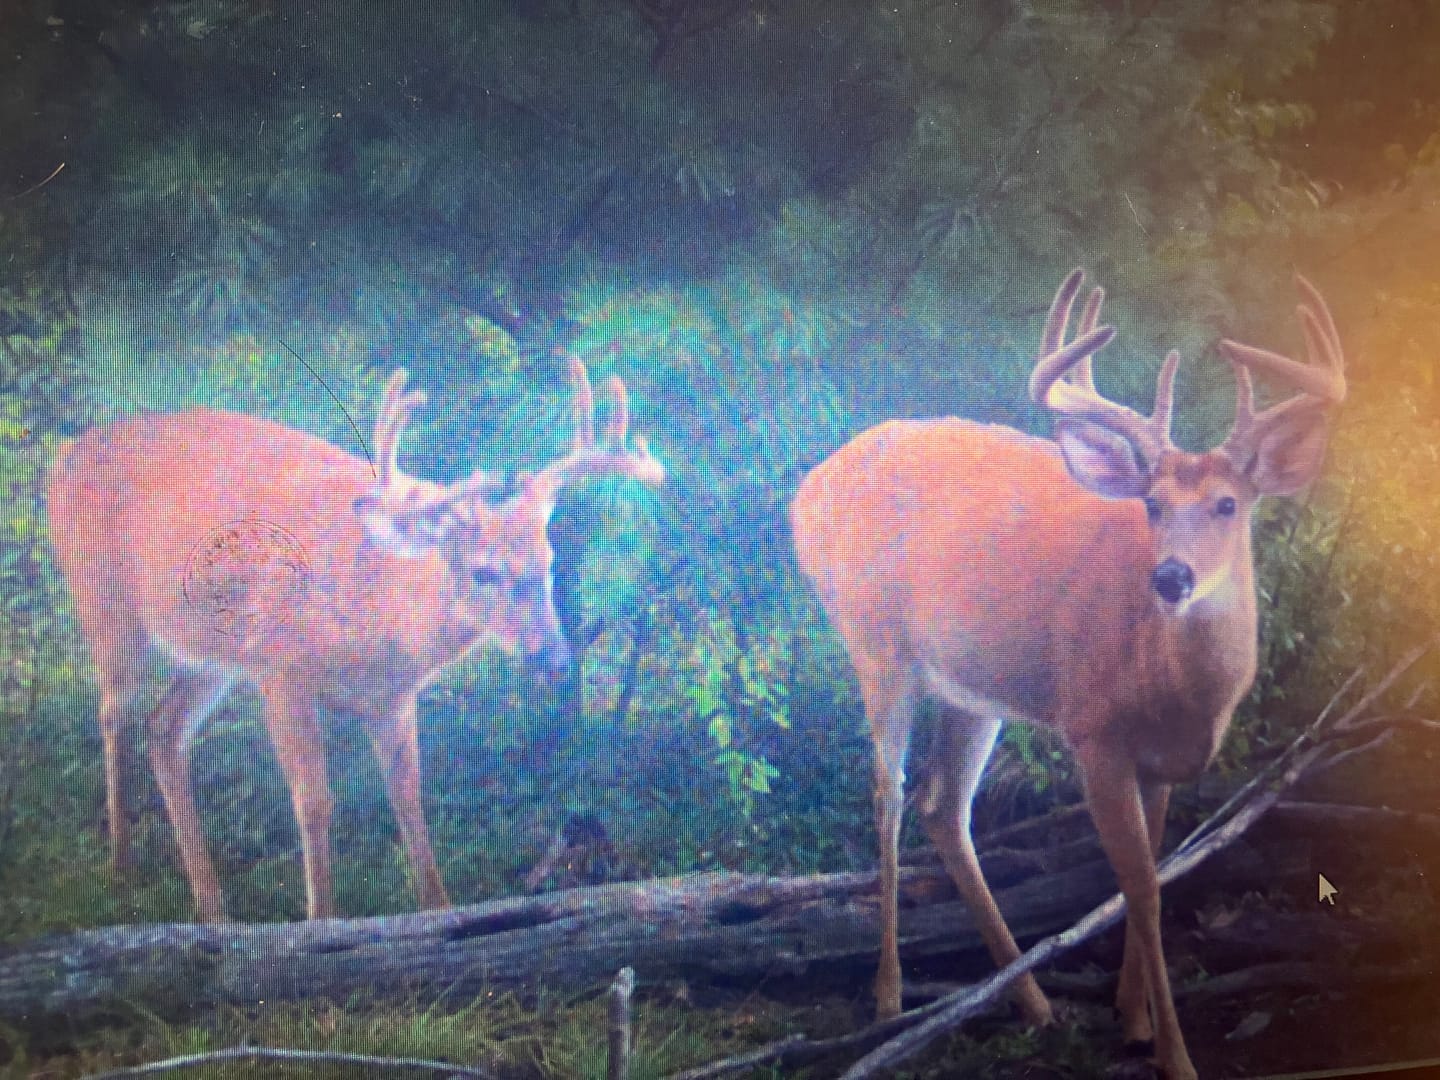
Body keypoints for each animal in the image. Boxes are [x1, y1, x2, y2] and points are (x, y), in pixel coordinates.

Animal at [46, 357, 664, 924]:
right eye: (481, 571)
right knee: (113, 712)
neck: (375, 626)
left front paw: (441, 911)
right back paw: (121, 867)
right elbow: (314, 801)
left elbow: (409, 800)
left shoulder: (391, 700)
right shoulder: (279, 669)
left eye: (548, 562)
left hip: (210, 655)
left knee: (164, 730)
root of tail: (65, 455)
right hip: (104, 603)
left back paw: (213, 908)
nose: (553, 656)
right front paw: (321, 919)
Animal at [791, 269, 1346, 1080]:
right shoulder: (1094, 733)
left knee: (943, 805)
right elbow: (1140, 889)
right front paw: (1173, 1054)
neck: (1172, 686)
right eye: (1152, 504)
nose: (1172, 578)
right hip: (876, 646)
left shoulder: (1161, 760)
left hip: (972, 687)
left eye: (1227, 504)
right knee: (887, 794)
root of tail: (807, 486)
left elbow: (1156, 871)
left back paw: (1033, 1002)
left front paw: (1133, 1016)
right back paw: (891, 999)